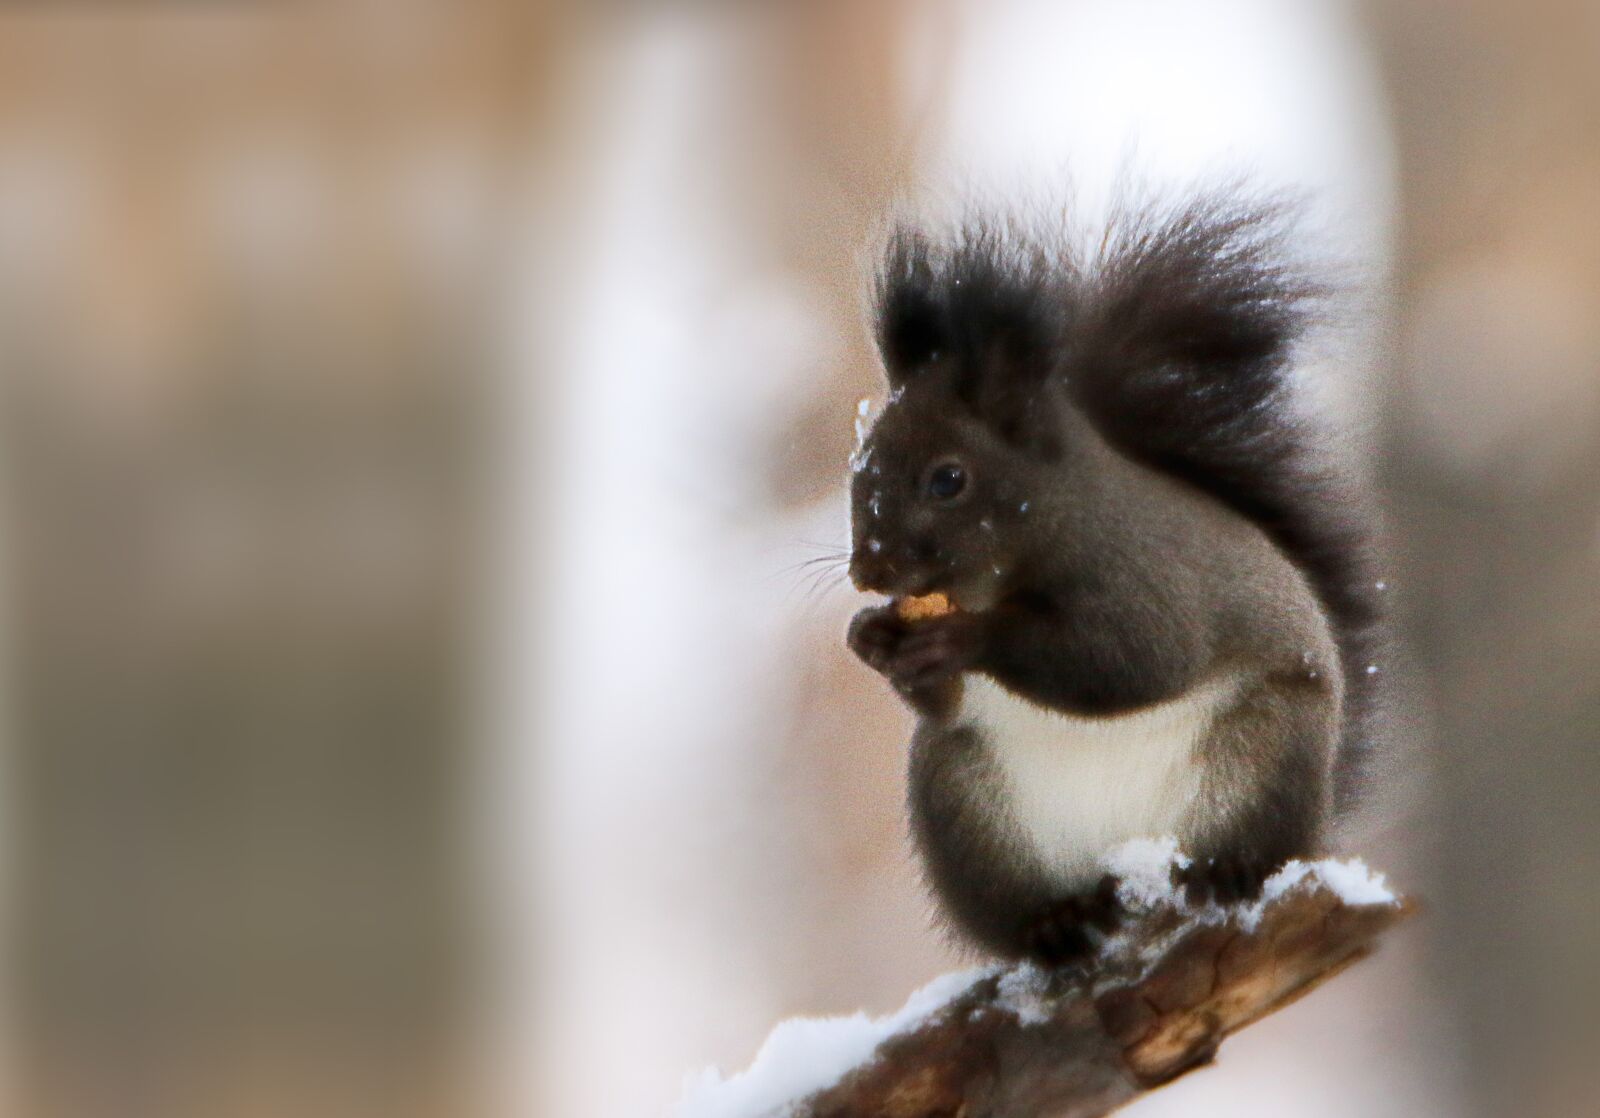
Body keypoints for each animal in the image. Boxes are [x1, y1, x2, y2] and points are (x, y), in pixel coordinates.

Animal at [845, 190, 1386, 964]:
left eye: (949, 479)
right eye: (859, 467)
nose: (868, 571)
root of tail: (1127, 859)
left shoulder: (1148, 576)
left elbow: (1126, 662)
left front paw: (961, 638)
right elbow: (944, 704)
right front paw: (874, 640)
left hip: (1264, 758)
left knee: (1251, 843)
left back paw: (1227, 871)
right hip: (965, 811)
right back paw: (1053, 922)